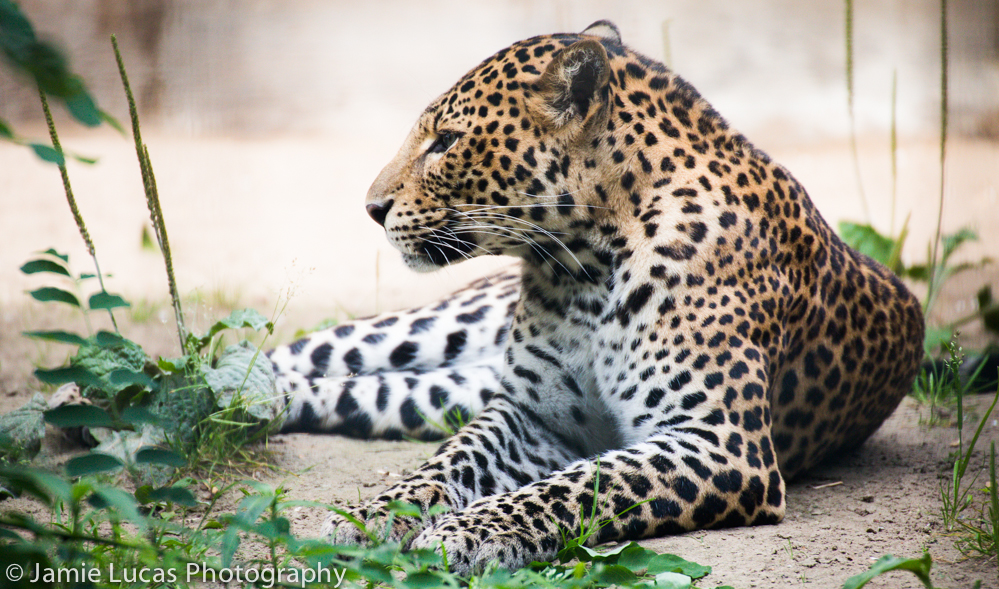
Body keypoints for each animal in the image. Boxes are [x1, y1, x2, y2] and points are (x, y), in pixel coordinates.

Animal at [267, 20, 925, 575]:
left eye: (447, 141)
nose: (372, 209)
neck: (583, 265)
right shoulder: (528, 414)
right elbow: (450, 460)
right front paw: (373, 514)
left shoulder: (720, 442)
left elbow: (583, 484)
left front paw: (467, 532)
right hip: (444, 327)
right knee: (309, 354)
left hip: (442, 389)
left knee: (357, 390)